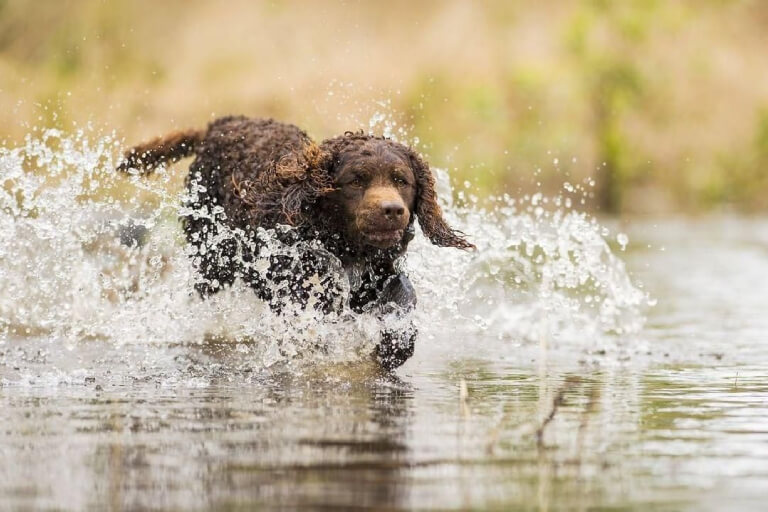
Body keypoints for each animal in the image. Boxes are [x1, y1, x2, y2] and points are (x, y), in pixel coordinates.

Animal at [118, 117, 474, 368]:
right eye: (356, 180)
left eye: (402, 180)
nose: (392, 210)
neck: (343, 247)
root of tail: (218, 125)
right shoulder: (294, 287)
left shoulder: (380, 273)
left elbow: (402, 296)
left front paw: (396, 343)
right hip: (212, 259)